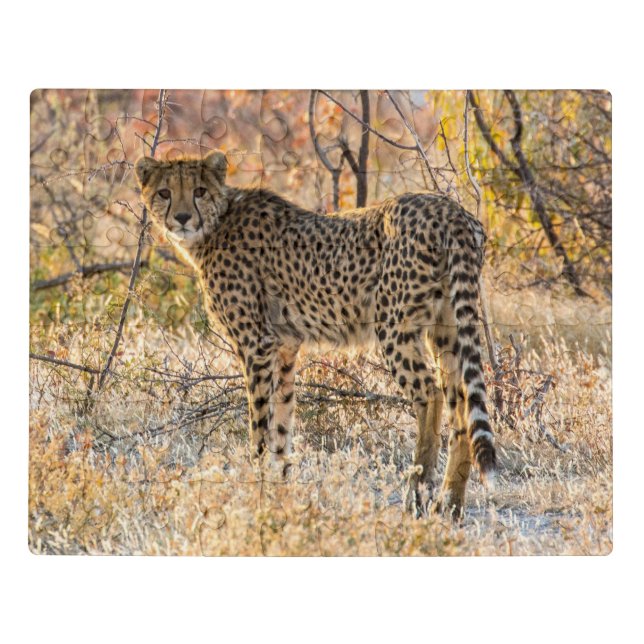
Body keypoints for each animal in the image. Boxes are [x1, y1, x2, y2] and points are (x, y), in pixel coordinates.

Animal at [135, 150, 496, 515]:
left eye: (199, 191)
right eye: (164, 192)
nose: (182, 218)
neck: (216, 223)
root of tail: (448, 208)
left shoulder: (256, 345)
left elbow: (260, 424)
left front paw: (257, 486)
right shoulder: (284, 347)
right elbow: (282, 420)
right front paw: (279, 489)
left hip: (394, 325)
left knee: (430, 394)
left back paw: (417, 494)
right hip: (446, 326)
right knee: (461, 403)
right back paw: (450, 504)